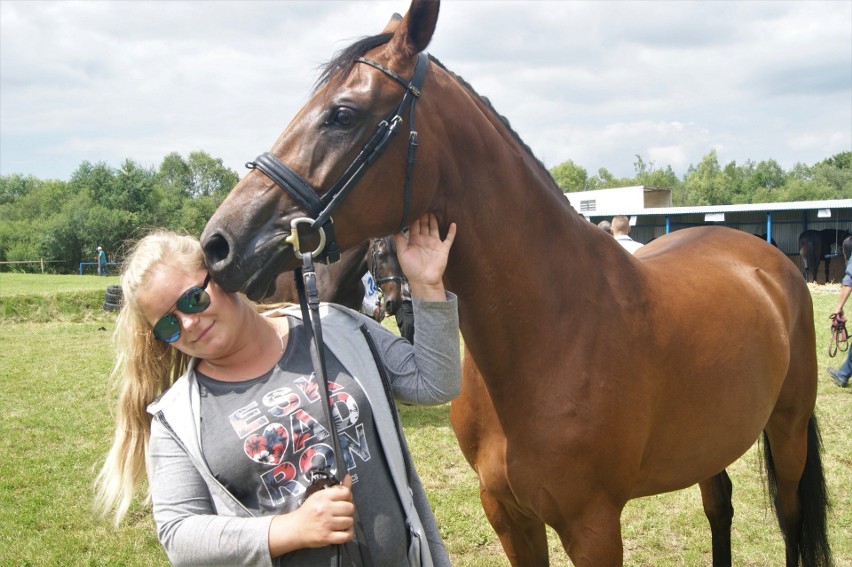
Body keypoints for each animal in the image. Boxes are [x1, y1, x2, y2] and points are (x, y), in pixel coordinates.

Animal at [198, 2, 824, 564]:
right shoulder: (508, 515)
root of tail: (765, 259)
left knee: (793, 520)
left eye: (343, 114)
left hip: (788, 428)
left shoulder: (593, 527)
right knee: (720, 506)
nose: (219, 244)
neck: (554, 334)